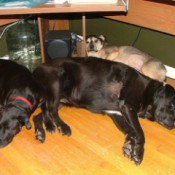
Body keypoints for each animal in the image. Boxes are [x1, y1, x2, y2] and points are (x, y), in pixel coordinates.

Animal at [32, 56, 175, 165]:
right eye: (173, 105)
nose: (173, 125)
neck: (149, 91)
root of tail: (37, 68)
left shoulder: (117, 114)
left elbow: (130, 131)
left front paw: (129, 145)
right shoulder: (128, 107)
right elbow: (140, 133)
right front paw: (139, 153)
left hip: (61, 100)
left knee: (39, 115)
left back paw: (42, 131)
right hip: (57, 82)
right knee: (51, 111)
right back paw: (63, 126)